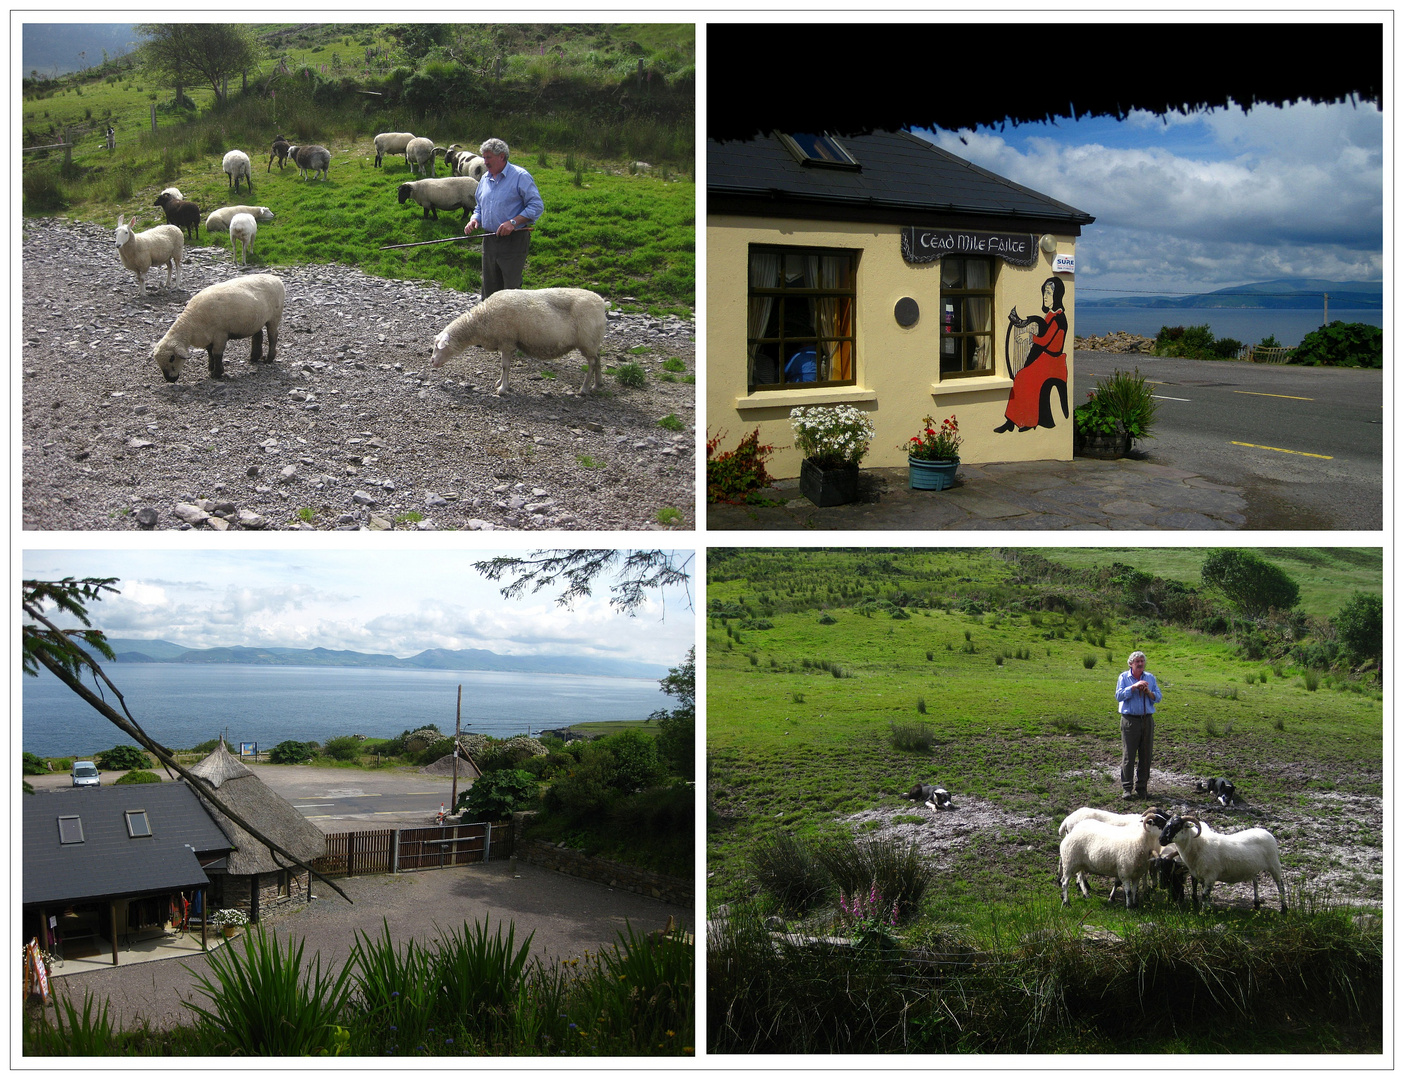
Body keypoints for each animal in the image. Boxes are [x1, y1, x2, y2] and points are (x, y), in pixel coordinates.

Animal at [150, 273, 285, 382]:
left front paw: (217, 373)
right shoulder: (209, 337)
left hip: (274, 317)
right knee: (258, 335)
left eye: (172, 358)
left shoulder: (220, 334)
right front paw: (211, 368)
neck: (191, 323)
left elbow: (217, 354)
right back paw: (254, 357)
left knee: (272, 336)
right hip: (256, 319)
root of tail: (276, 278)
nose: (170, 379)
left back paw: (269, 358)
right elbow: (210, 353)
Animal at [429, 286, 612, 396]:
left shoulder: (507, 341)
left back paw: (584, 388)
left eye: (438, 347)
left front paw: (503, 388)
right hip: (593, 341)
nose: (432, 361)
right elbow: (504, 366)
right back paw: (597, 384)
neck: (481, 320)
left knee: (592, 363)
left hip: (587, 340)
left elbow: (505, 366)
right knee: (598, 359)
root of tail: (601, 303)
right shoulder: (506, 343)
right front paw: (501, 383)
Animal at [1156, 808, 1286, 910]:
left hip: (1274, 864)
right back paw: (1256, 905)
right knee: (1255, 882)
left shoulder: (1210, 875)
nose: (1161, 839)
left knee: (1281, 886)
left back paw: (1284, 910)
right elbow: (1204, 893)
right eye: (1166, 824)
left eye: (1177, 826)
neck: (1198, 844)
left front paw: (1204, 913)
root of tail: (1267, 832)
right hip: (1253, 868)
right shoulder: (1201, 876)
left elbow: (1205, 895)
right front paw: (1207, 908)